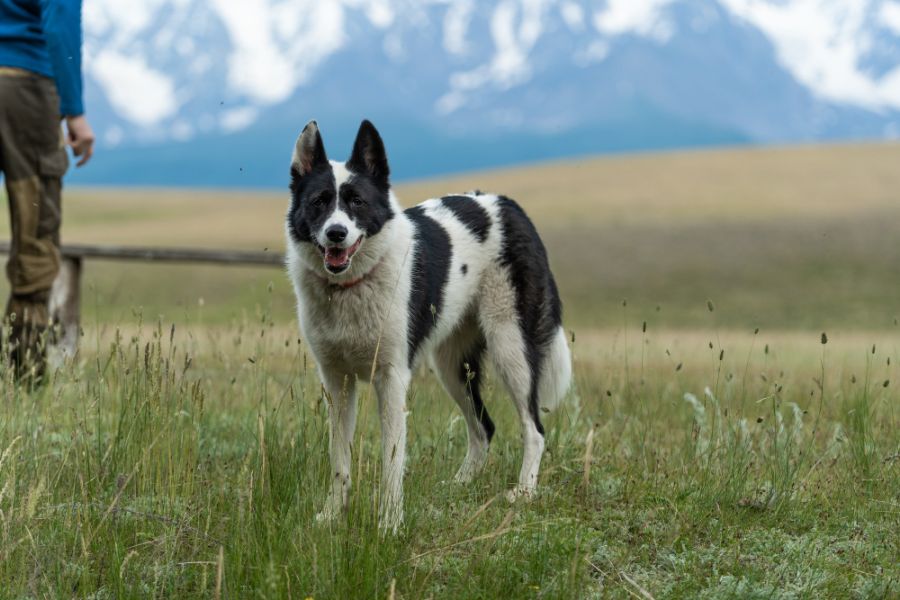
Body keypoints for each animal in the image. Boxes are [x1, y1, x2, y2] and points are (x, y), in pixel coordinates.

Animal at [284, 120, 572, 528]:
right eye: (319, 202)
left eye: (357, 202)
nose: (336, 233)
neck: (350, 287)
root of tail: (509, 205)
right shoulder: (337, 381)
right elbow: (339, 457)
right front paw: (332, 516)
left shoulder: (390, 378)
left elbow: (391, 460)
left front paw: (389, 524)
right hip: (451, 366)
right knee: (483, 428)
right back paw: (460, 484)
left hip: (510, 348)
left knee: (534, 428)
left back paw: (523, 493)